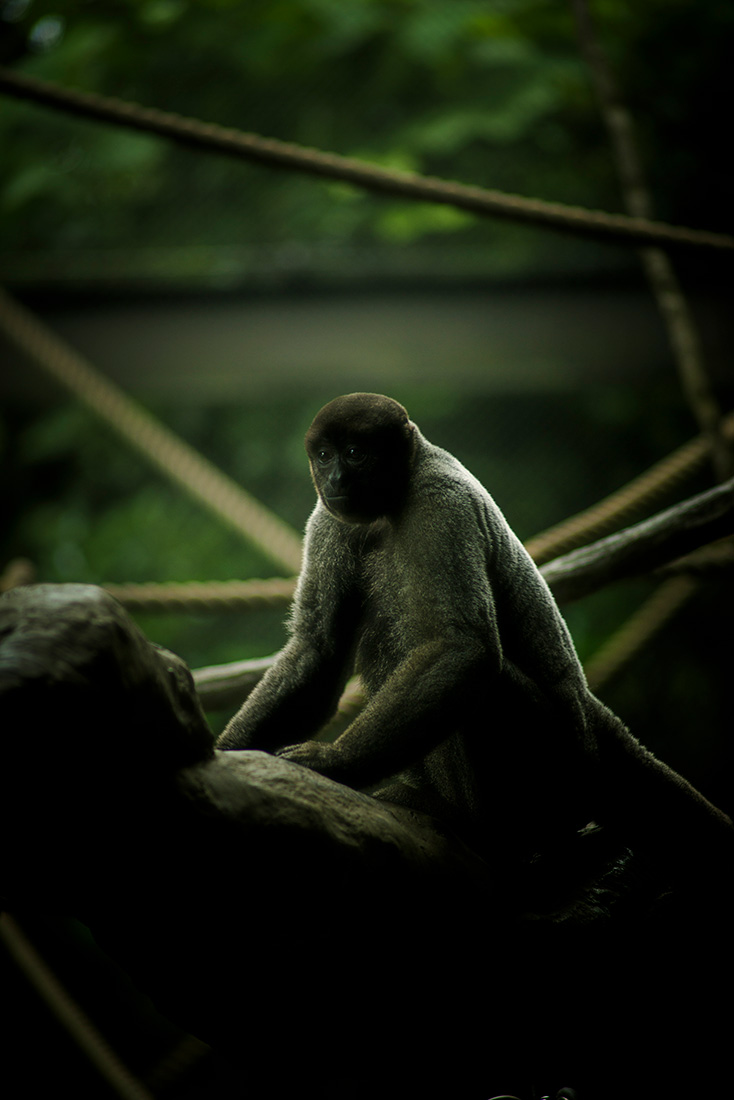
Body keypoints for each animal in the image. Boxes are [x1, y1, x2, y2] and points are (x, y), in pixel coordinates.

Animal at [218, 393, 733, 869]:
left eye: (355, 453)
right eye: (325, 455)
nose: (335, 479)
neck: (396, 493)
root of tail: (590, 713)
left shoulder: (438, 504)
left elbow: (461, 647)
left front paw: (333, 762)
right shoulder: (328, 518)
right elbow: (318, 649)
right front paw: (225, 754)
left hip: (553, 768)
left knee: (474, 667)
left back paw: (467, 821)